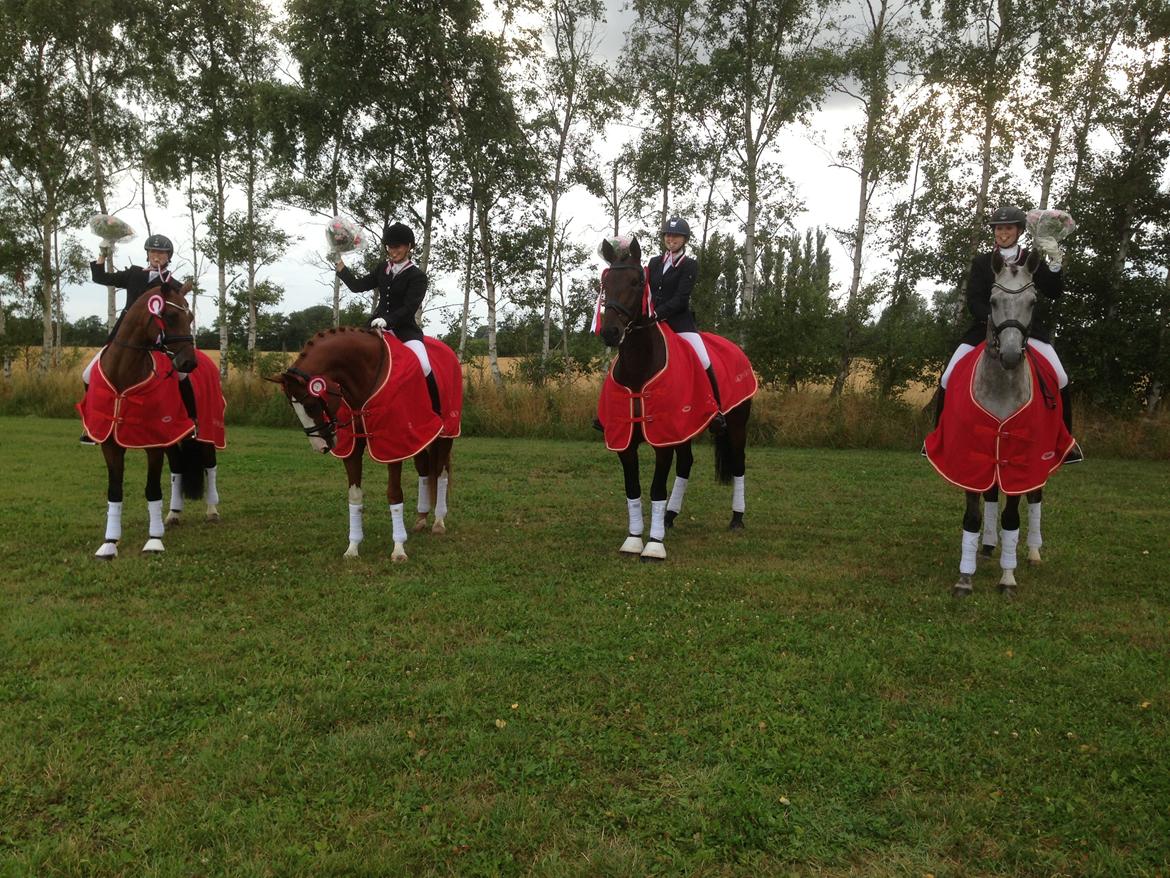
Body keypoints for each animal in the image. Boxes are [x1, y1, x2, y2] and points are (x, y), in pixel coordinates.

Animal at [80, 282, 210, 557]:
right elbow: (114, 491)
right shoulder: (111, 445)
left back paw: (212, 511)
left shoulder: (153, 444)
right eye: (169, 316)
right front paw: (109, 543)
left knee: (210, 467)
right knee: (178, 468)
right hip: (172, 438)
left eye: (190, 317)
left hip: (207, 435)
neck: (124, 373)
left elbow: (152, 489)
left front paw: (154, 540)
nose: (188, 363)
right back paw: (173, 515)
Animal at [271, 325, 458, 564]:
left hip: (445, 436)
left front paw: (398, 549)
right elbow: (355, 496)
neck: (364, 380)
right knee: (425, 472)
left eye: (312, 404)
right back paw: (421, 519)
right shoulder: (354, 449)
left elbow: (394, 494)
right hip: (419, 438)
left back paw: (438, 522)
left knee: (441, 474)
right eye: (293, 407)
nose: (320, 446)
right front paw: (352, 547)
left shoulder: (392, 447)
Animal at [599, 235, 753, 564]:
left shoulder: (662, 439)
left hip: (736, 424)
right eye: (605, 283)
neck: (639, 368)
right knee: (686, 465)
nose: (610, 332)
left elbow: (656, 488)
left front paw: (654, 545)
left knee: (738, 464)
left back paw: (736, 518)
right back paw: (670, 516)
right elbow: (632, 488)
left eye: (636, 282)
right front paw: (633, 539)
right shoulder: (626, 440)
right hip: (686, 428)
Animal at [926, 250, 1071, 604]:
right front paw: (965, 578)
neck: (1000, 387)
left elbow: (1012, 517)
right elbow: (973, 516)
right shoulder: (969, 458)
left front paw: (1008, 577)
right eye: (992, 300)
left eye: (1033, 302)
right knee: (992, 493)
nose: (1009, 355)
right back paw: (989, 544)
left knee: (1035, 498)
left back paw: (1032, 552)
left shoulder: (1023, 462)